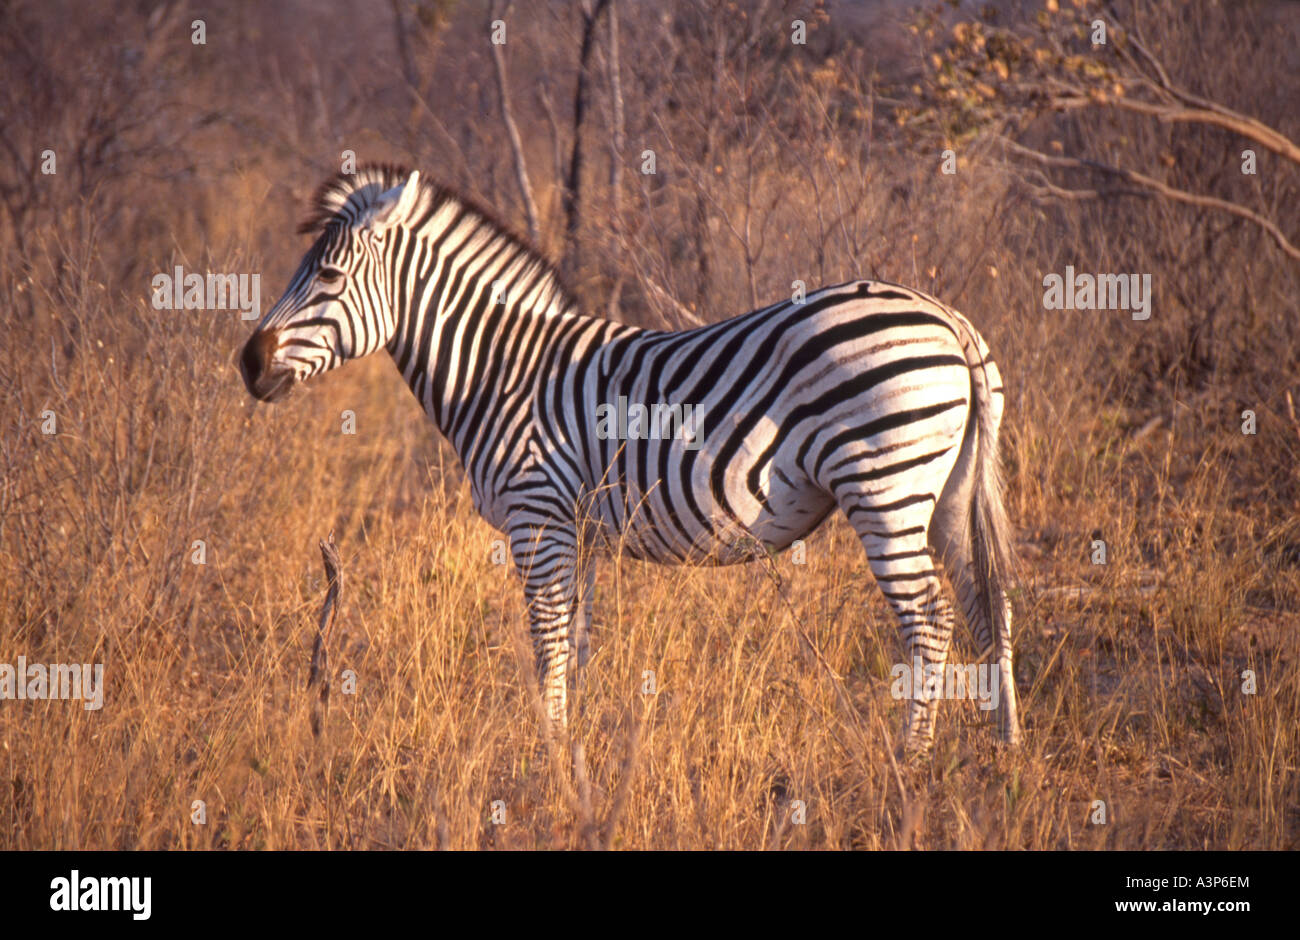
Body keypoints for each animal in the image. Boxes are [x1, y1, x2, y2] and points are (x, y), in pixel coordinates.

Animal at [240, 163, 1021, 756]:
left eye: (329, 276)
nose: (247, 363)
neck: (501, 372)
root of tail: (948, 318)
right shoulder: (576, 532)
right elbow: (575, 642)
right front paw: (576, 749)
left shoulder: (537, 518)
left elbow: (547, 640)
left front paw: (550, 756)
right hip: (946, 493)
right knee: (987, 604)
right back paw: (1001, 748)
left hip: (884, 487)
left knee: (930, 619)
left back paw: (911, 758)